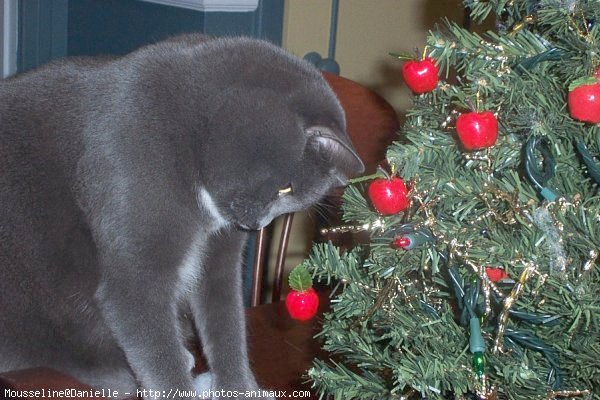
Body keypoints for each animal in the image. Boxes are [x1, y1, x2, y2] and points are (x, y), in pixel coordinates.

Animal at [0, 35, 364, 400]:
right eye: (285, 188)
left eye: (286, 201)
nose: (255, 226)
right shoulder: (136, 267)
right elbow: (155, 344)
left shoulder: (220, 258)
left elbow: (227, 323)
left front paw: (238, 388)